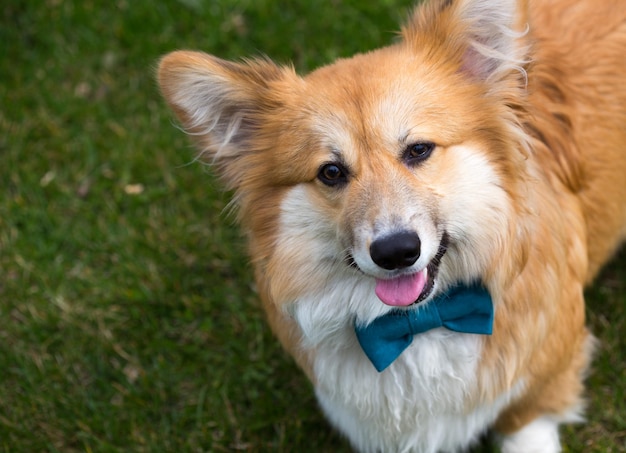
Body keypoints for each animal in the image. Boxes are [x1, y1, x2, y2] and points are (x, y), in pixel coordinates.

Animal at [157, 0, 624, 450]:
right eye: (331, 172)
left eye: (418, 149)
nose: (396, 252)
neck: (418, 323)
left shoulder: (547, 376)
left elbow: (527, 422)